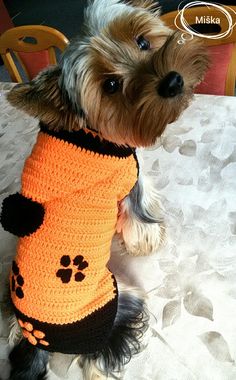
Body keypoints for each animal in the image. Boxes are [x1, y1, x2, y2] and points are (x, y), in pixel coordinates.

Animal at [0, 0, 208, 380]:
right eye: (111, 85)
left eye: (143, 42)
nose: (173, 81)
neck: (89, 129)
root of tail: (38, 340)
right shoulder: (128, 177)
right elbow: (141, 213)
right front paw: (151, 238)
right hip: (118, 295)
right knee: (96, 357)